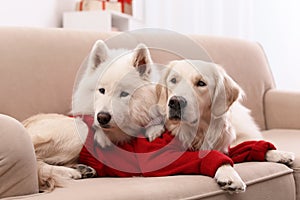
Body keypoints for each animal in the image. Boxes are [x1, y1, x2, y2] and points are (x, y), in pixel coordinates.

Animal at [22, 39, 159, 191]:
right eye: (101, 90)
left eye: (124, 94)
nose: (102, 118)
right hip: (80, 130)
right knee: (36, 161)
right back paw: (71, 172)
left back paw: (82, 169)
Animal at [150, 59, 296, 192]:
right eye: (173, 80)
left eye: (201, 83)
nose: (175, 102)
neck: (199, 131)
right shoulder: (161, 156)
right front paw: (229, 174)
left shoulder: (224, 145)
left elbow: (243, 147)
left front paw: (278, 153)